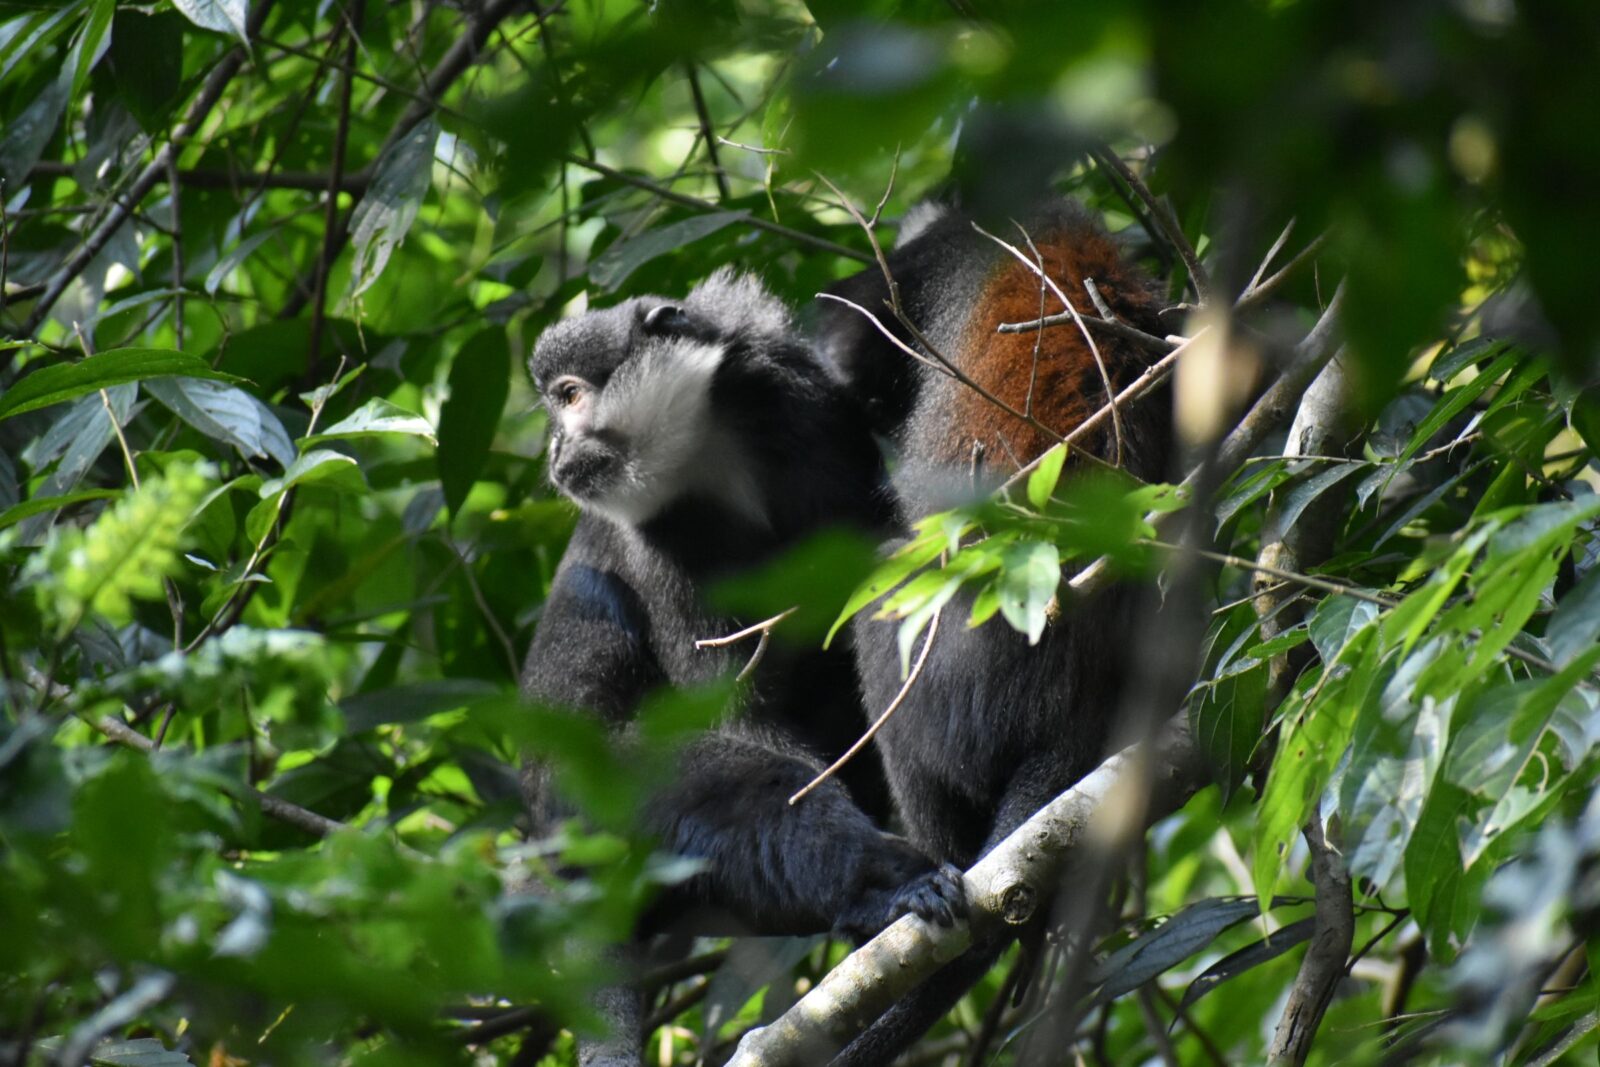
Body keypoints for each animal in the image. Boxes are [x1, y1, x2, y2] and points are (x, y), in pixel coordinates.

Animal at [519, 266, 967, 948]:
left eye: (569, 396)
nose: (552, 452)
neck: (708, 451)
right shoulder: (658, 535)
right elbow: (740, 715)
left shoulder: (797, 404)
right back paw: (878, 885)